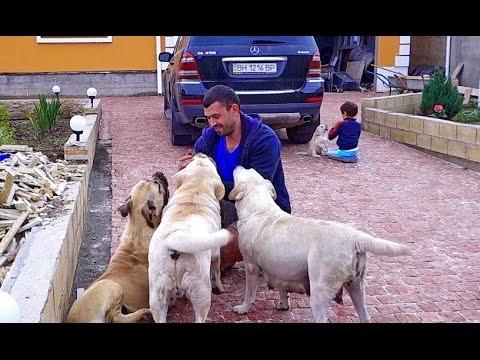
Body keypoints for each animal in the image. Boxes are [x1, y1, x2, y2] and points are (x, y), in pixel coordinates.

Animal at [65, 172, 171, 324]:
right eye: (157, 185)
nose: (159, 173)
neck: (137, 232)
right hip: (112, 286)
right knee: (116, 318)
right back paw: (145, 313)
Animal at [149, 153, 233, 322]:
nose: (202, 153)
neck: (194, 195)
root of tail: (173, 244)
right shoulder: (216, 252)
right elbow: (217, 272)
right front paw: (220, 288)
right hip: (201, 290)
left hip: (157, 293)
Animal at [229, 166, 412, 324]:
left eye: (244, 170)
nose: (238, 165)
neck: (259, 208)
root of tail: (354, 236)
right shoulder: (280, 268)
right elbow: (282, 287)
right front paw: (283, 303)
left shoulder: (251, 266)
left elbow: (249, 293)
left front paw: (243, 308)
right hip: (356, 286)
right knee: (365, 316)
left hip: (319, 290)